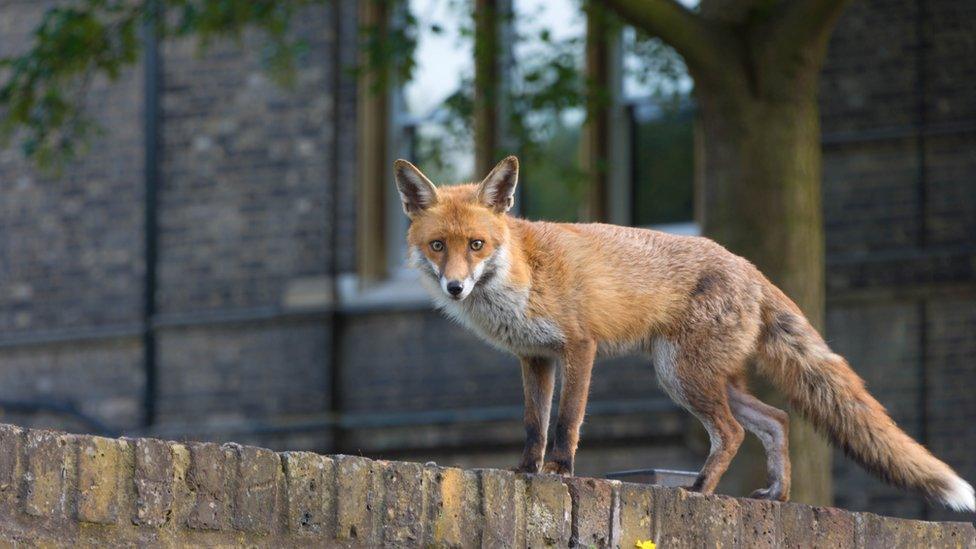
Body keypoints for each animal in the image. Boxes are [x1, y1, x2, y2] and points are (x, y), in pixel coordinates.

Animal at [392, 153, 972, 510]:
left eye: (477, 245)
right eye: (439, 246)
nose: (455, 288)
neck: (523, 273)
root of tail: (750, 266)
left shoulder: (580, 347)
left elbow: (566, 424)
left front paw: (559, 472)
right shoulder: (535, 358)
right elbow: (534, 425)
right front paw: (524, 473)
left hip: (680, 376)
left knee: (734, 433)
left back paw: (699, 490)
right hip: (701, 378)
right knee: (777, 419)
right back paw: (777, 496)